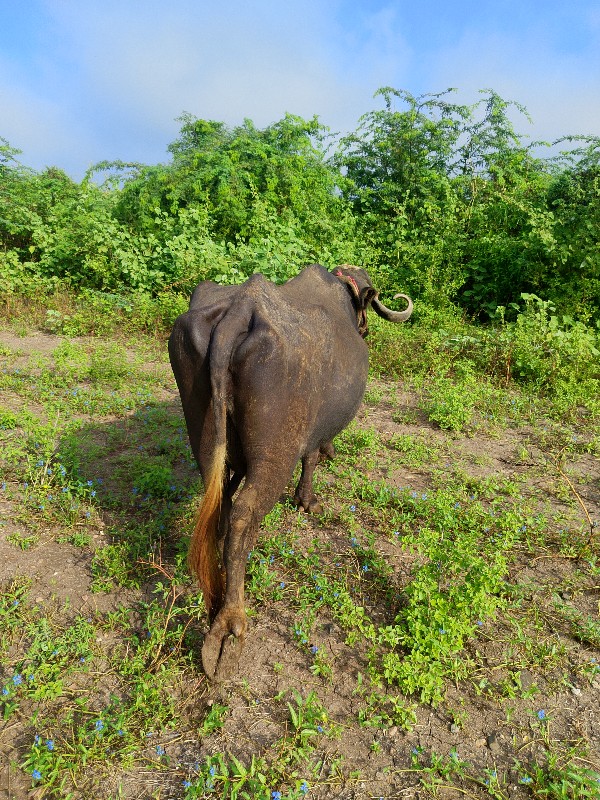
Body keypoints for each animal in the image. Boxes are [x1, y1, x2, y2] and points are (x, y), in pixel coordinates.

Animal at [169, 266, 412, 680]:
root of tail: (239, 312)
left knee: (218, 502)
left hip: (203, 435)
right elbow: (311, 460)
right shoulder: (310, 435)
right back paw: (229, 623)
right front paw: (307, 500)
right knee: (244, 514)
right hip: (275, 456)